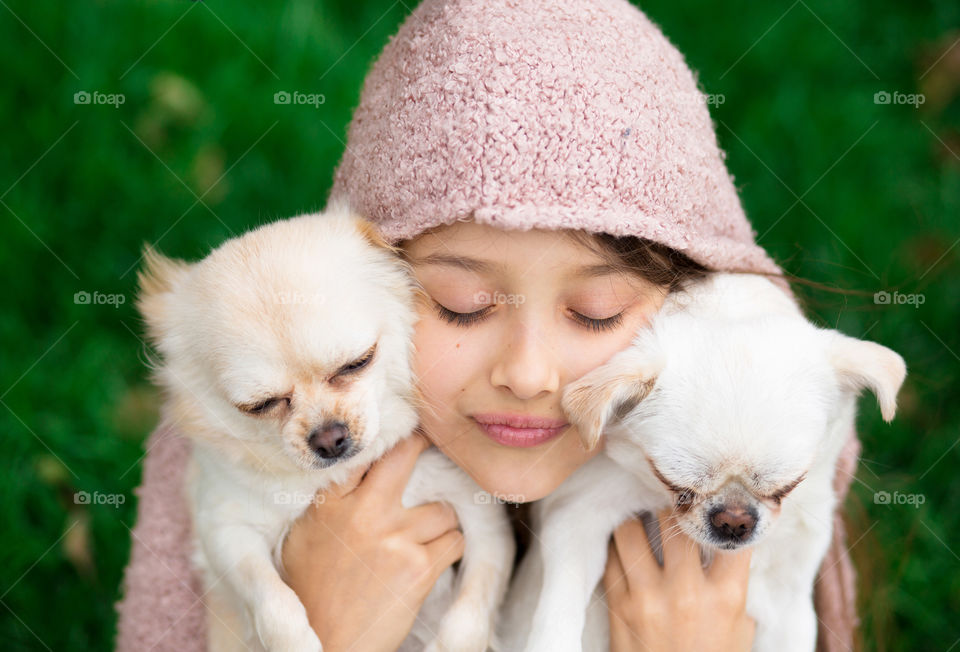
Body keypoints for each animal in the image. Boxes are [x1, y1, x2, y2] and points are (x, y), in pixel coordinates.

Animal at [138, 209, 512, 652]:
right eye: (260, 405)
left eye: (357, 362)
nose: (328, 438)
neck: (336, 476)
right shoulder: (224, 528)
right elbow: (269, 595)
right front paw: (294, 642)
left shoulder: (484, 520)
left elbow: (471, 608)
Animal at [502, 272, 908, 648]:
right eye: (674, 485)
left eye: (787, 487)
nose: (734, 520)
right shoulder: (577, 516)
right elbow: (560, 607)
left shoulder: (789, 596)